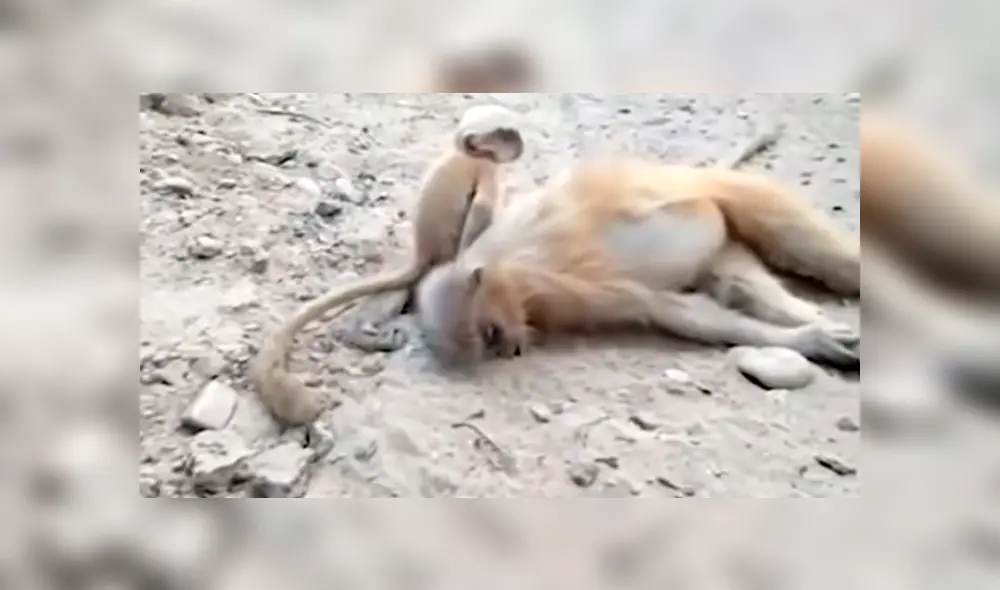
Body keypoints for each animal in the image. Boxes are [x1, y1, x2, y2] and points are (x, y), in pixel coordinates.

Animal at [250, 104, 526, 425]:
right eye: (506, 134)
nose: (519, 146)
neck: (460, 151)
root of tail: (423, 254)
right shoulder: (485, 169)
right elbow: (480, 215)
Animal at [414, 157, 860, 368]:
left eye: (489, 333)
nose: (507, 348)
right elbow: (680, 312)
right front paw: (809, 338)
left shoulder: (541, 277)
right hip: (723, 245)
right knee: (741, 283)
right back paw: (808, 316)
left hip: (713, 192)